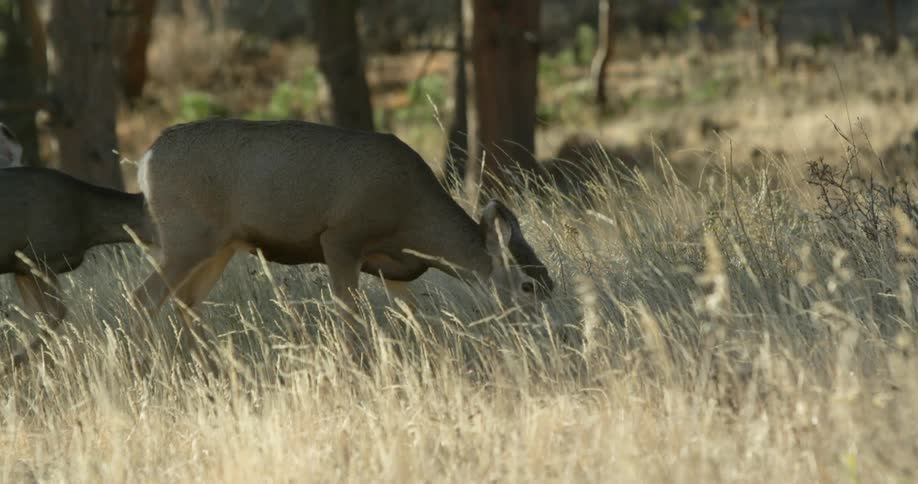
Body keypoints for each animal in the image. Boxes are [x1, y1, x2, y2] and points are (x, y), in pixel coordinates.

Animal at [0, 122, 154, 371]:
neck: (88, 221)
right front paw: (11, 363)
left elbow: (42, 318)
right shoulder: (37, 256)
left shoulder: (21, 266)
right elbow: (56, 314)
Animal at [132, 119, 554, 356]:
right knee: (144, 299)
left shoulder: (392, 270)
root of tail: (146, 158)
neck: (411, 220)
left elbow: (416, 318)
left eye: (549, 279)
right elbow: (350, 317)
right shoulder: (340, 239)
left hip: (219, 244)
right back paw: (152, 368)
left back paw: (206, 368)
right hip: (187, 236)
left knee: (187, 301)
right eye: (528, 285)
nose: (547, 331)